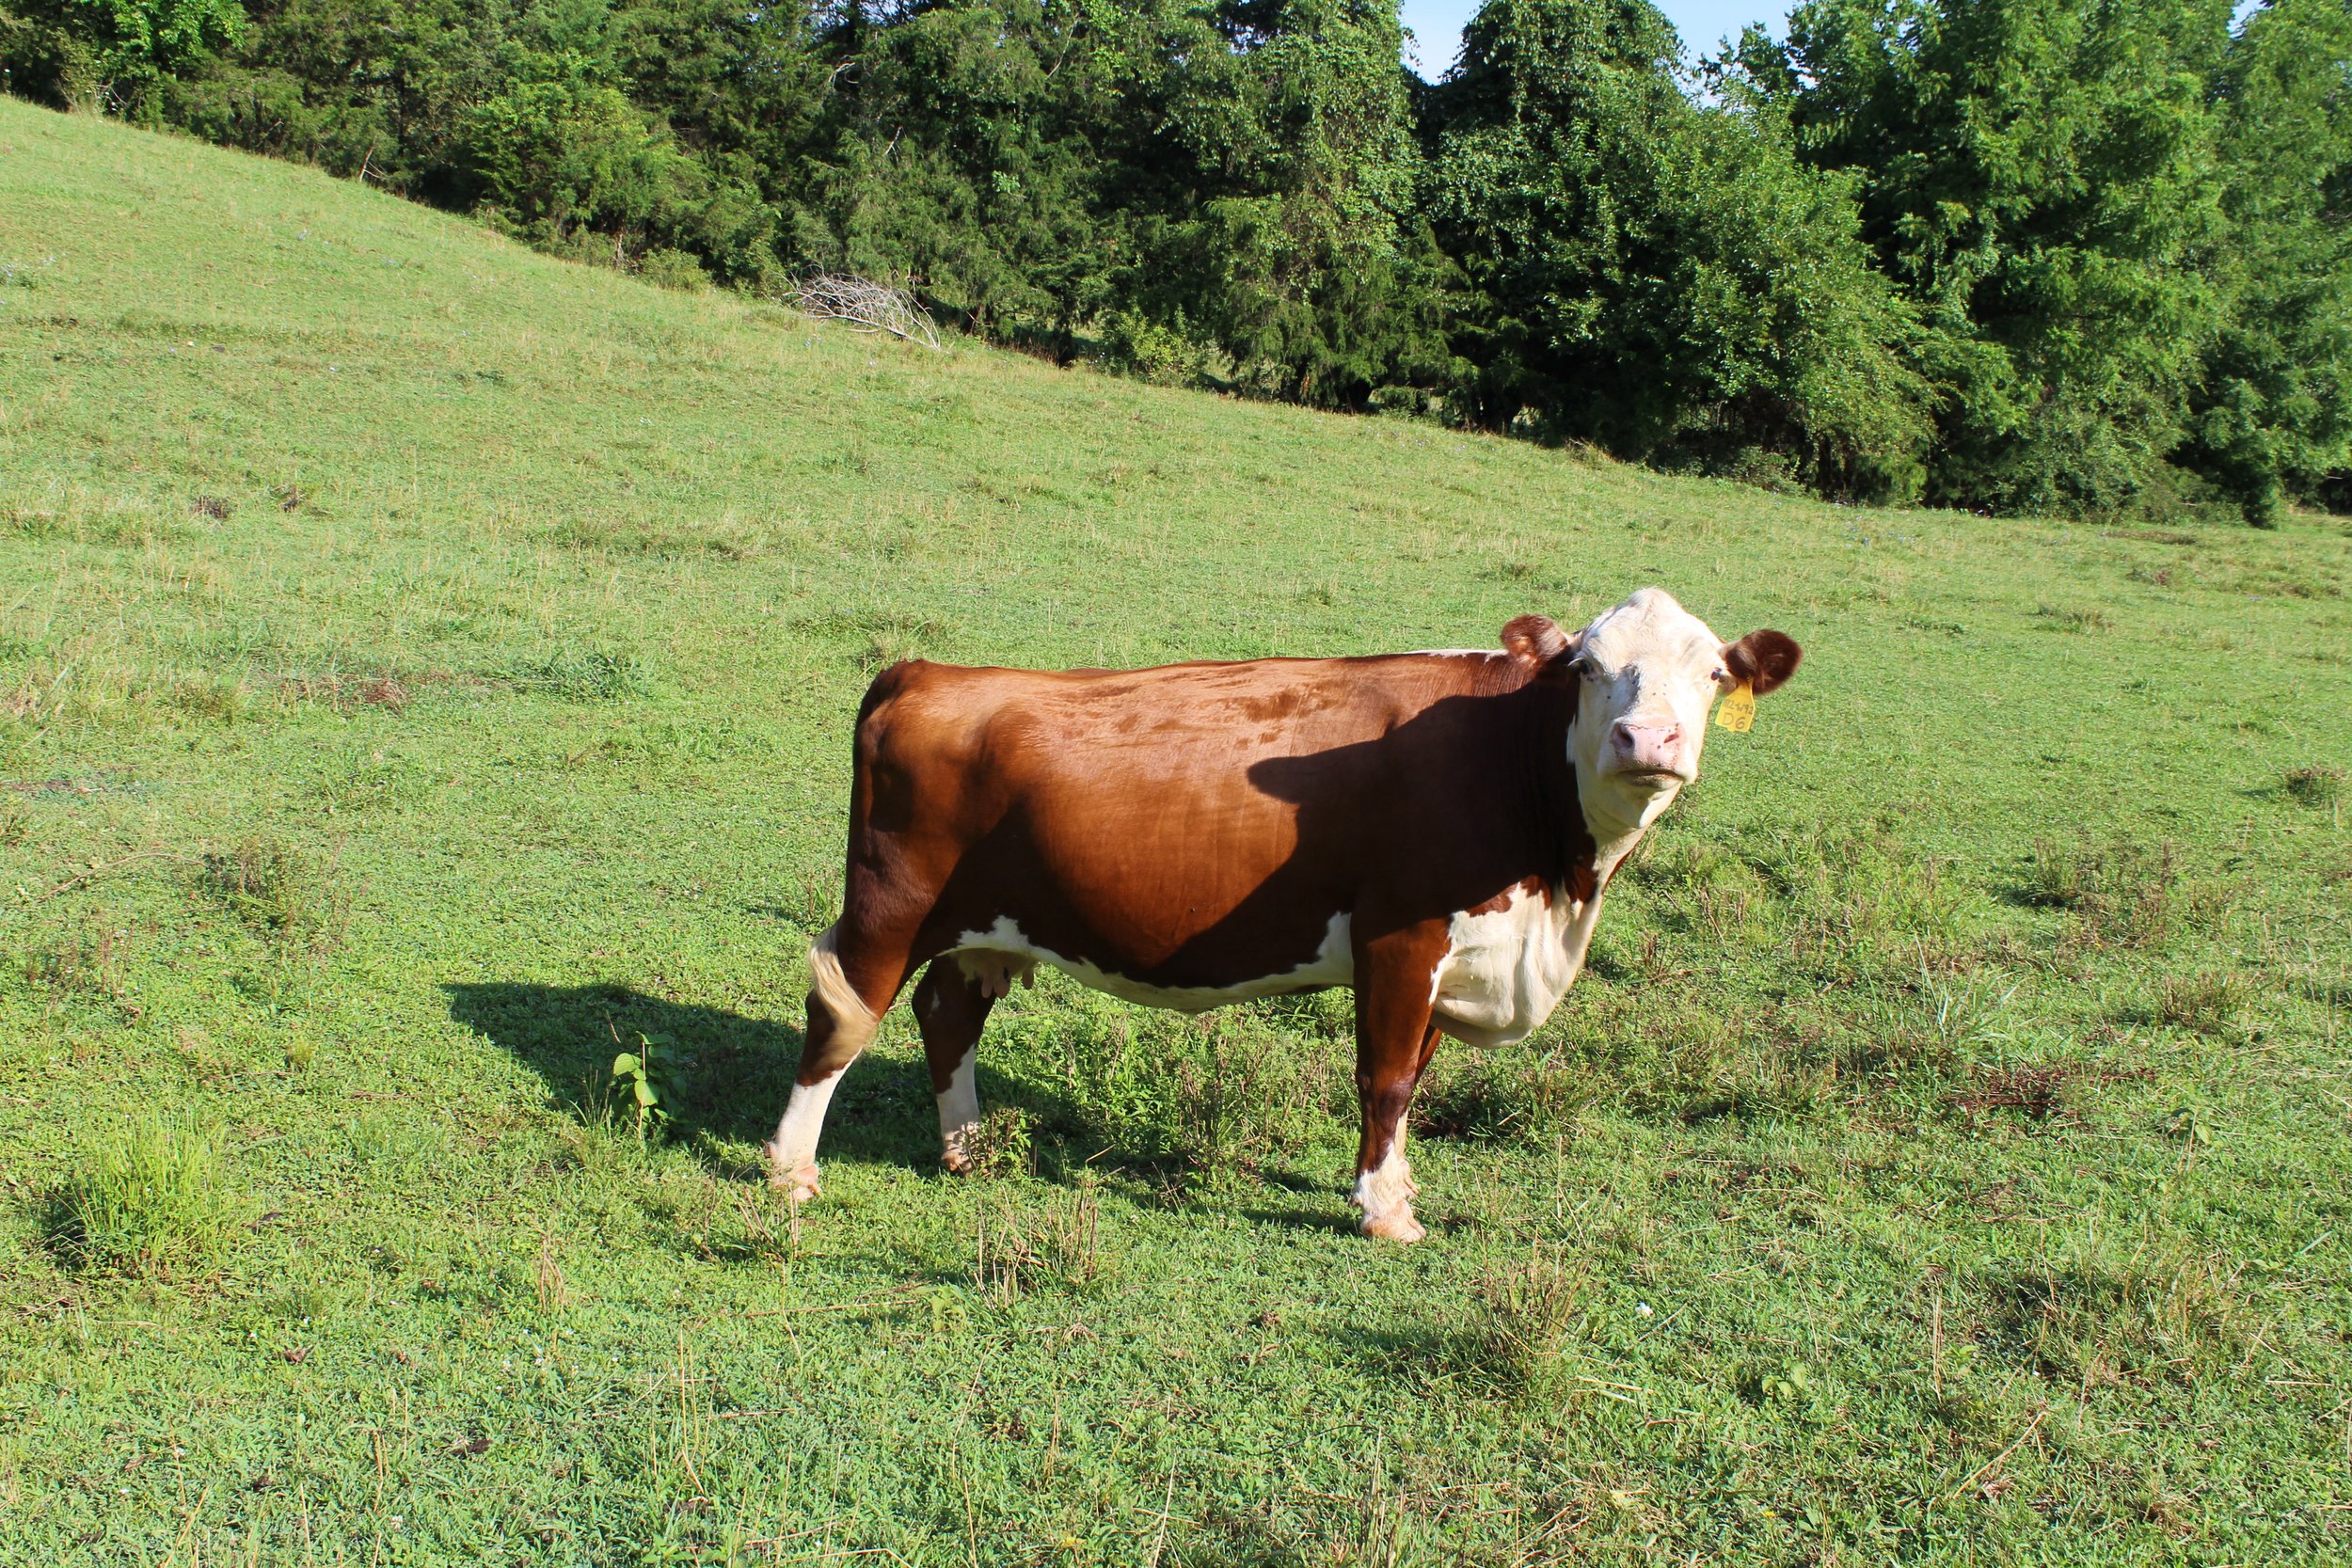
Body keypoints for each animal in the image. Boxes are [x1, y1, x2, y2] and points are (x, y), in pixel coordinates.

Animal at [767, 588, 1801, 1241]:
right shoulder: (1399, 936)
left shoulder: (1452, 958)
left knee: (947, 1015)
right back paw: (791, 1172)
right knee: (841, 1015)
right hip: (890, 903)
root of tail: (927, 670)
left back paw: (968, 1149)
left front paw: (1397, 1185)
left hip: (979, 923)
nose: (1647, 739)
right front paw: (1384, 1212)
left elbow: (1415, 1081)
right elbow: (1386, 1079)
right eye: (1588, 667)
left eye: (1712, 673)